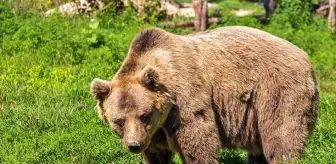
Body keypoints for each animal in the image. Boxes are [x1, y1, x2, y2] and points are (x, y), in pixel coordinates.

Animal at [90, 26, 318, 164]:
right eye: (119, 121)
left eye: (144, 115)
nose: (134, 145)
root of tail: (304, 55)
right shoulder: (154, 132)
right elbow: (157, 153)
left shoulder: (184, 98)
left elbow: (198, 138)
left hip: (276, 90)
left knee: (282, 135)